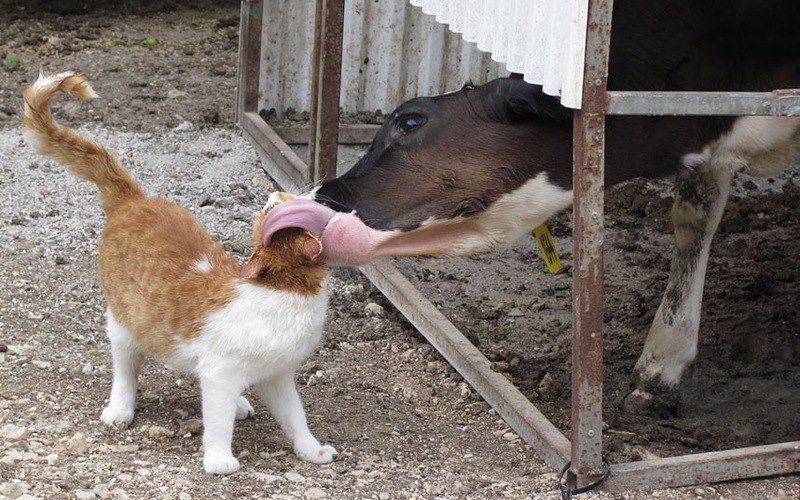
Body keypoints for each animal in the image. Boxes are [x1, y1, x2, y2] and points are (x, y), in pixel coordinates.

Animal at [21, 72, 334, 474]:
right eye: (274, 208)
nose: (278, 193)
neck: (287, 294)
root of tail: (135, 201)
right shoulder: (220, 372)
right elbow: (217, 422)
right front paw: (219, 460)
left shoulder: (277, 376)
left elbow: (295, 418)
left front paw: (311, 449)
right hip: (125, 323)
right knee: (126, 368)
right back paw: (120, 409)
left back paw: (240, 404)